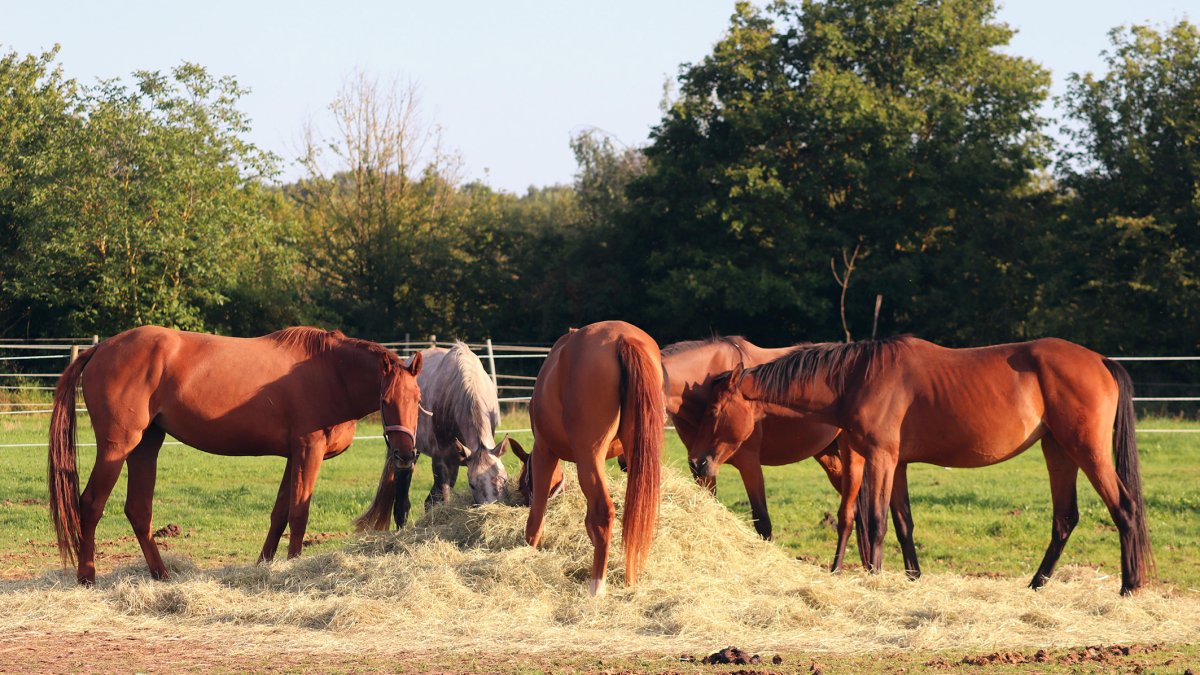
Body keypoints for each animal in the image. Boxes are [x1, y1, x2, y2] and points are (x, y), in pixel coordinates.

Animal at [48, 325, 423, 585]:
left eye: (417, 398)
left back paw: (162, 575)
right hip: (117, 446)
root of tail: (100, 348)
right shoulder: (308, 450)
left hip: (146, 445)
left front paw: (265, 566)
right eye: (386, 400)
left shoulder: (293, 456)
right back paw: (87, 578)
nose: (405, 455)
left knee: (138, 511)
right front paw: (294, 566)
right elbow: (299, 514)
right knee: (90, 505)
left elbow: (280, 514)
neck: (330, 372)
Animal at [355, 341, 511, 530]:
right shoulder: (443, 462)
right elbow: (441, 500)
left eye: (504, 480)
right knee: (403, 503)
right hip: (407, 455)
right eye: (472, 485)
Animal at [514, 321, 664, 596]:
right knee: (633, 516)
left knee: (604, 512)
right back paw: (630, 581)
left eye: (522, 485)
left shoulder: (544, 453)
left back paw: (597, 587)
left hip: (587, 456)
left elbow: (536, 518)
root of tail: (623, 338)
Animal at [694, 336, 1152, 595]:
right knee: (1065, 519)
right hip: (1058, 452)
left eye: (714, 411)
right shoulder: (896, 464)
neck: (857, 378)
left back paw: (1129, 587)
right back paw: (1037, 584)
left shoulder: (880, 458)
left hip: (1087, 451)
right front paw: (912, 578)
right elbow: (903, 523)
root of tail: (1101, 361)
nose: (699, 462)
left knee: (1124, 509)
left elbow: (876, 521)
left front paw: (875, 579)